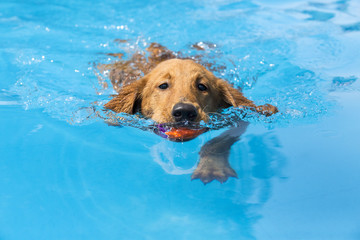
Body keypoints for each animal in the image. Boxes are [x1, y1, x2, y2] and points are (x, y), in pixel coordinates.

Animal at [102, 42, 278, 184]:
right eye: (163, 85)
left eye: (202, 86)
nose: (184, 112)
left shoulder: (238, 119)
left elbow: (217, 142)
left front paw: (212, 167)